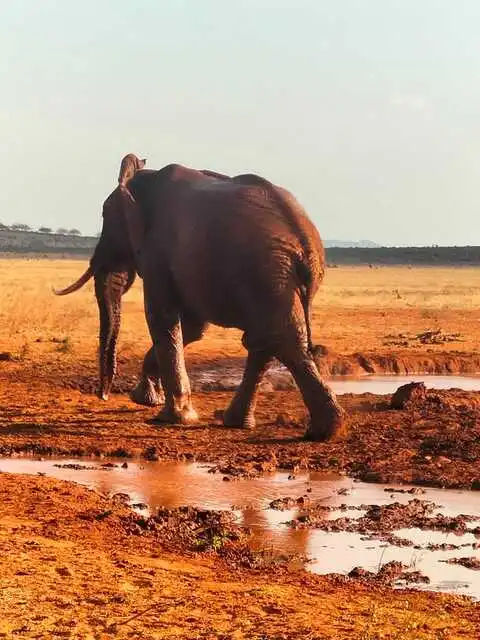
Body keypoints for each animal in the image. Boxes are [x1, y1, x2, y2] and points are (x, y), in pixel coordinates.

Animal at [55, 161, 344, 441]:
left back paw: (320, 431)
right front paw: (146, 400)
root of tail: (305, 241)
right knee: (268, 340)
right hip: (276, 276)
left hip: (268, 273)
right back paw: (246, 423)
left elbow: (162, 317)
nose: (102, 395)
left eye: (105, 214)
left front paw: (170, 416)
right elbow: (192, 328)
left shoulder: (158, 250)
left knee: (277, 339)